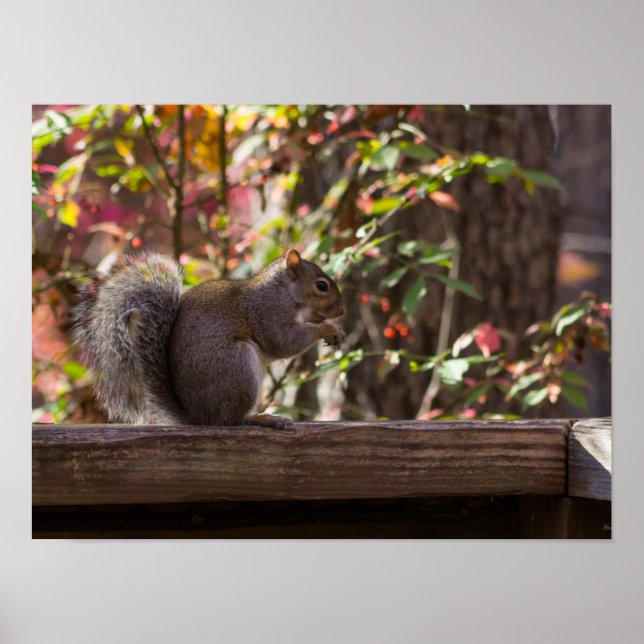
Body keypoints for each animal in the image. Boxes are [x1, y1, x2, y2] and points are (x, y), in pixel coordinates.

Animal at [72, 249, 346, 428]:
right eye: (322, 286)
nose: (342, 311)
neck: (283, 291)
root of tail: (198, 417)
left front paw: (335, 329)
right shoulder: (268, 313)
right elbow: (284, 342)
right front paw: (327, 329)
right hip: (238, 366)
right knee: (232, 419)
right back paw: (261, 418)